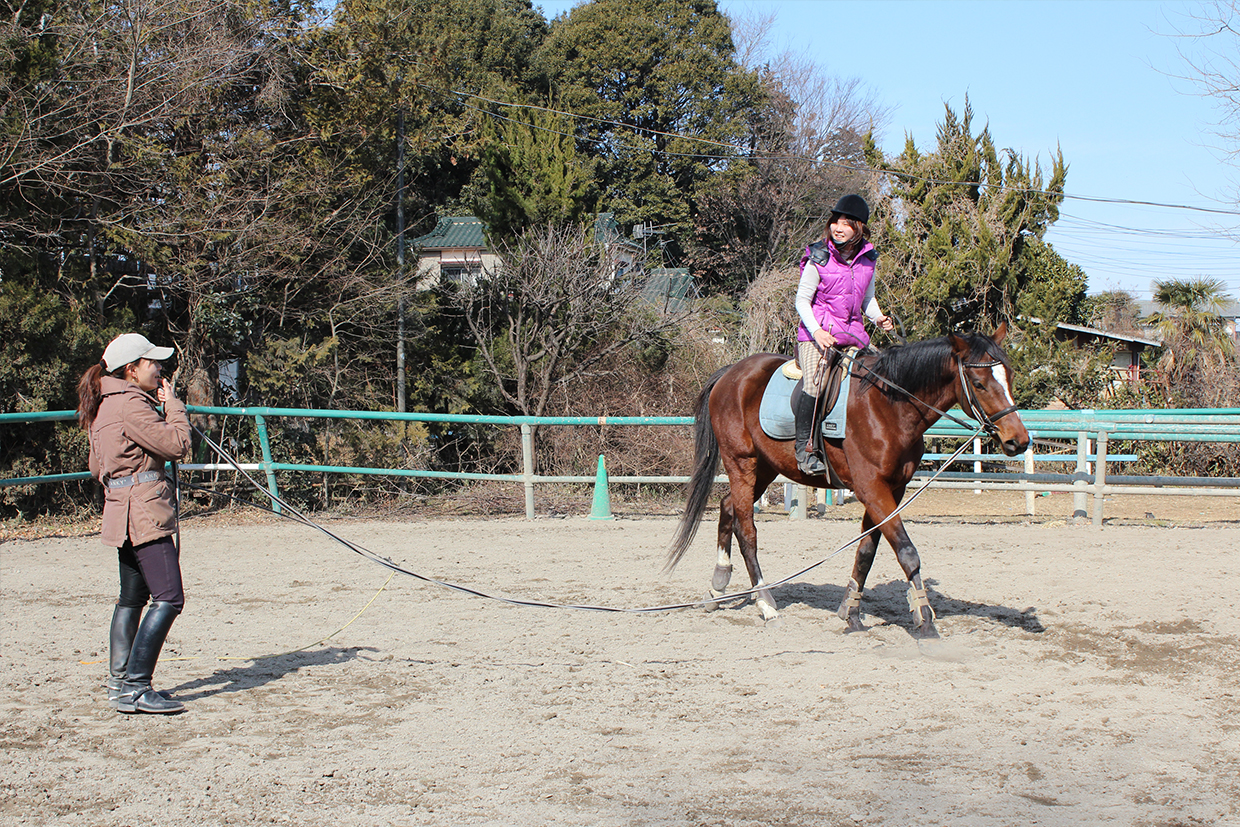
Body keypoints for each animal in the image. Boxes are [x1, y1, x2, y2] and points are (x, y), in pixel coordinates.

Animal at [666, 323, 1030, 638]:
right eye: (979, 383)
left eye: (1009, 376)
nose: (1019, 441)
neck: (890, 405)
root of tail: (731, 373)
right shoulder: (872, 488)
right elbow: (907, 551)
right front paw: (924, 618)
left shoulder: (891, 489)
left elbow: (867, 551)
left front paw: (851, 612)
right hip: (742, 464)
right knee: (747, 530)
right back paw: (765, 603)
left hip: (765, 468)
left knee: (727, 507)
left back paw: (718, 587)